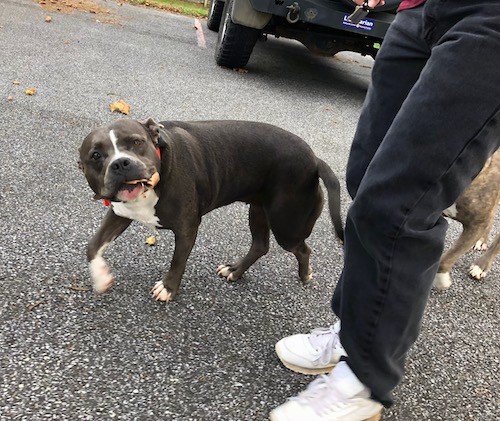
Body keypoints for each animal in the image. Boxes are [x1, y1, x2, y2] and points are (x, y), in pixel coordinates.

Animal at [79, 120, 344, 300]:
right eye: (96, 155)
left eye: (136, 142)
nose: (120, 163)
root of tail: (314, 160)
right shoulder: (119, 214)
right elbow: (93, 245)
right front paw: (101, 276)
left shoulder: (187, 227)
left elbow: (178, 260)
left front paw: (168, 288)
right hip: (259, 210)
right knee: (260, 245)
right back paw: (235, 271)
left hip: (287, 225)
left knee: (302, 249)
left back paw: (304, 274)